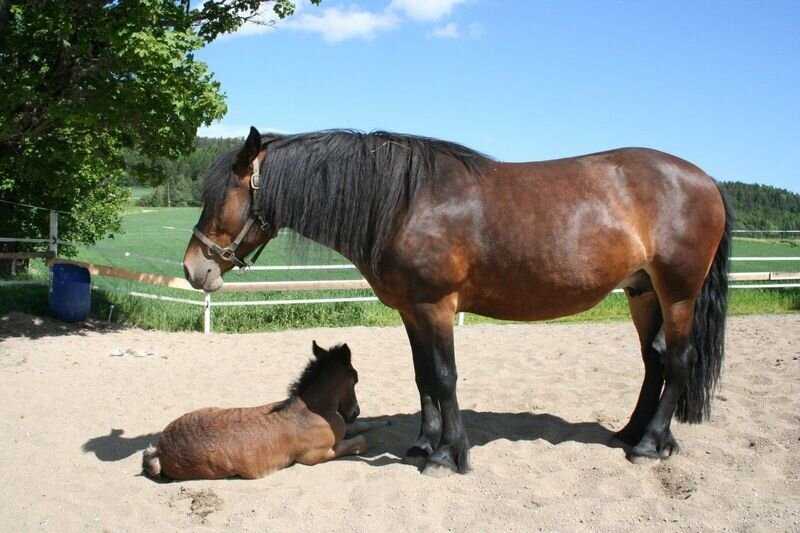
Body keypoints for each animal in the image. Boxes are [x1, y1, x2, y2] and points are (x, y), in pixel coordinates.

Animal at [141, 342, 384, 480]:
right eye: (355, 378)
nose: (354, 412)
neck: (313, 412)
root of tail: (160, 450)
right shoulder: (316, 455)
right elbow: (361, 441)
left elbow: (361, 428)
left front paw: (382, 423)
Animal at [183, 125, 732, 474]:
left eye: (220, 197)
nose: (194, 269)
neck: (404, 203)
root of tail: (705, 180)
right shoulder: (411, 310)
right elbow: (424, 377)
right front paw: (424, 445)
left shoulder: (437, 306)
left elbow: (445, 378)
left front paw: (450, 456)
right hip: (642, 292)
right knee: (653, 361)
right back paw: (630, 433)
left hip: (678, 293)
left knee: (678, 361)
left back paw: (649, 445)